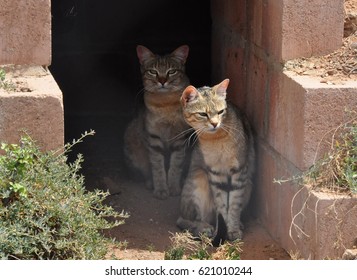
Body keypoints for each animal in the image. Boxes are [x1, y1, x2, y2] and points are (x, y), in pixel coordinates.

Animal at [124, 44, 191, 199]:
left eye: (171, 71)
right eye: (153, 72)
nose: (162, 81)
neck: (165, 104)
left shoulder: (180, 138)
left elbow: (175, 165)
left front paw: (173, 187)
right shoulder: (153, 138)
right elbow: (157, 167)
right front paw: (161, 189)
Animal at [175, 78, 253, 241]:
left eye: (220, 111)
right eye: (203, 114)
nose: (215, 123)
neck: (216, 140)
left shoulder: (239, 172)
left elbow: (234, 205)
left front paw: (233, 229)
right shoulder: (215, 174)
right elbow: (222, 205)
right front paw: (223, 229)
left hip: (248, 184)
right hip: (198, 178)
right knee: (184, 220)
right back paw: (204, 227)